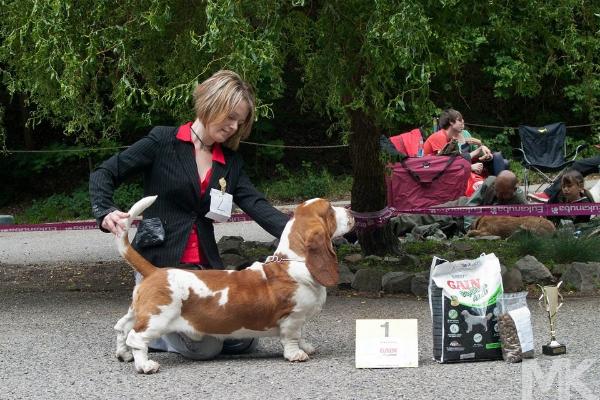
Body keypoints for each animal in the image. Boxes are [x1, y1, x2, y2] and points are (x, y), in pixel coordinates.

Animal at [115, 195, 354, 374]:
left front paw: (306, 347)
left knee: (122, 328)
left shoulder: (299, 319)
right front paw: (296, 354)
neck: (293, 261)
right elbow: (292, 336)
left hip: (139, 313)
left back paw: (123, 354)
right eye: (330, 210)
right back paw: (145, 365)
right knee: (136, 337)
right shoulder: (292, 317)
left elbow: (301, 334)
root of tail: (155, 271)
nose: (351, 212)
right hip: (158, 318)